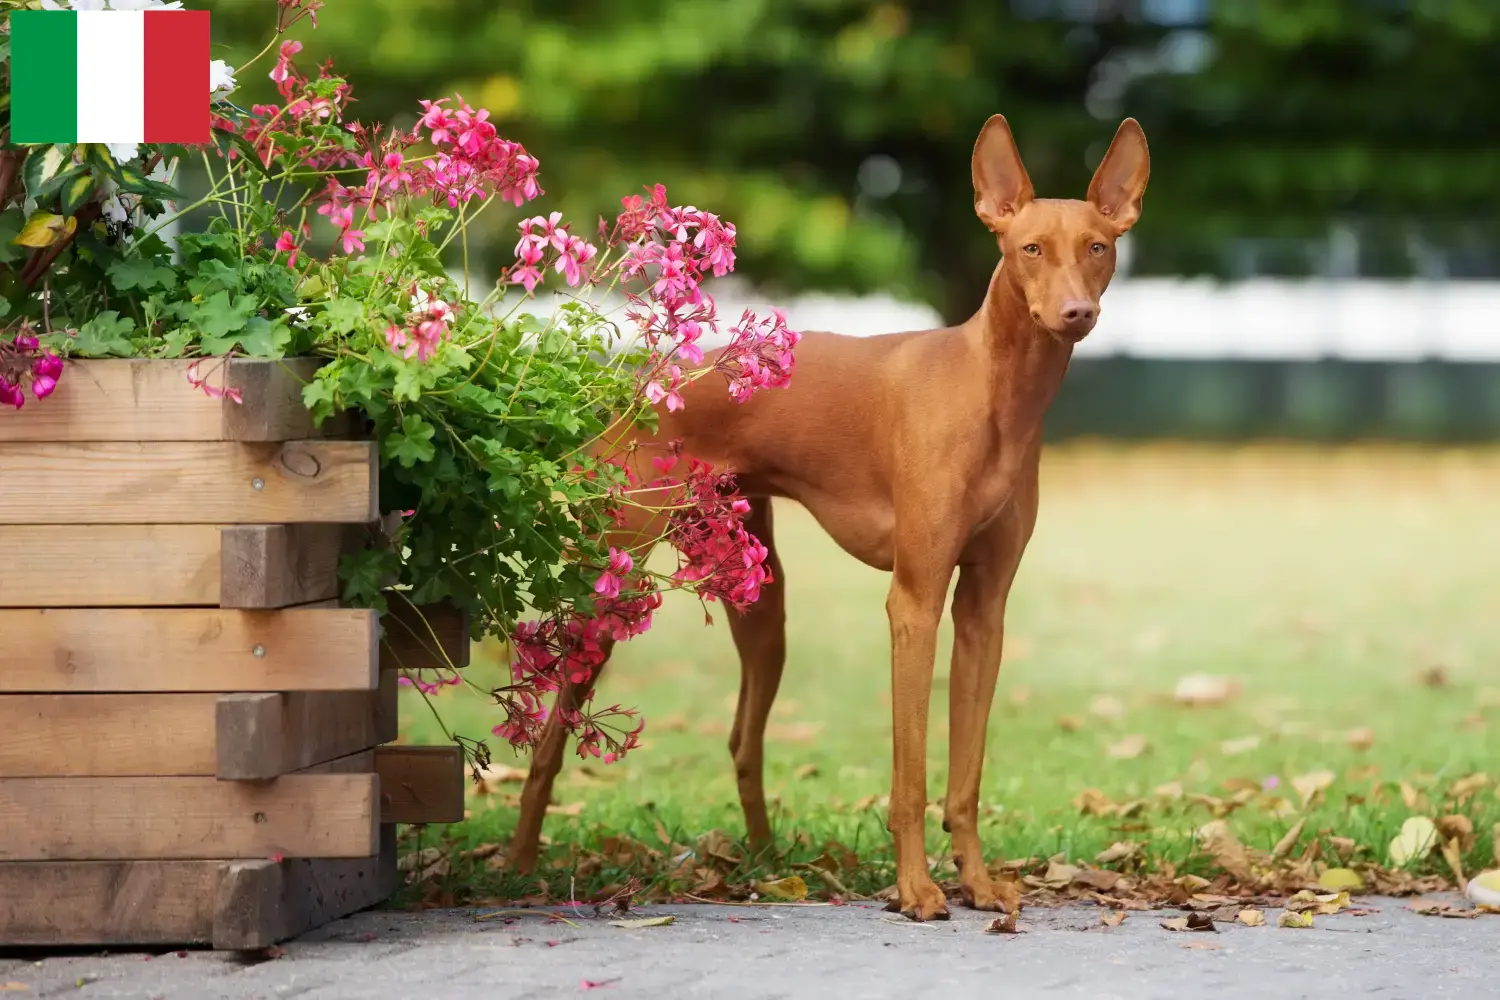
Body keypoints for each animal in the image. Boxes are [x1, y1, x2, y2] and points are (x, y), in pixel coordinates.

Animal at [504, 115, 1146, 923]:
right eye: (1029, 248)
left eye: (1098, 246)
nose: (1075, 313)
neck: (996, 391)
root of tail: (640, 387)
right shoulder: (914, 603)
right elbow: (910, 773)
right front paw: (917, 890)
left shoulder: (983, 611)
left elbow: (964, 779)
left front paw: (976, 882)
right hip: (611, 593)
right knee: (550, 737)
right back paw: (523, 864)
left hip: (761, 602)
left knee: (743, 741)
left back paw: (766, 863)